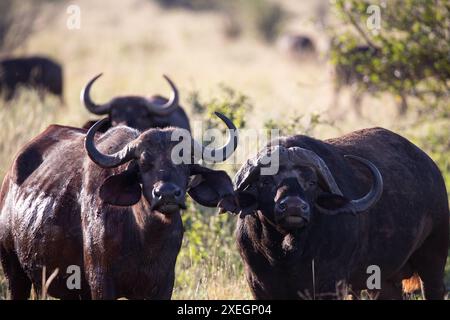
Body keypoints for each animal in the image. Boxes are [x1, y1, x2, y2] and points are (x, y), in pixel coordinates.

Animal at [0, 113, 237, 300]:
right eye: (144, 163)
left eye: (185, 161)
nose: (167, 193)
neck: (145, 239)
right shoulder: (100, 281)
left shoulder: (163, 285)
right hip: (14, 271)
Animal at [230, 127, 448, 300]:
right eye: (266, 181)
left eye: (312, 182)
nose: (293, 206)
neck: (286, 255)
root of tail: (433, 169)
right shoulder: (259, 285)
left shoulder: (330, 285)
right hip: (384, 280)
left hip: (434, 258)